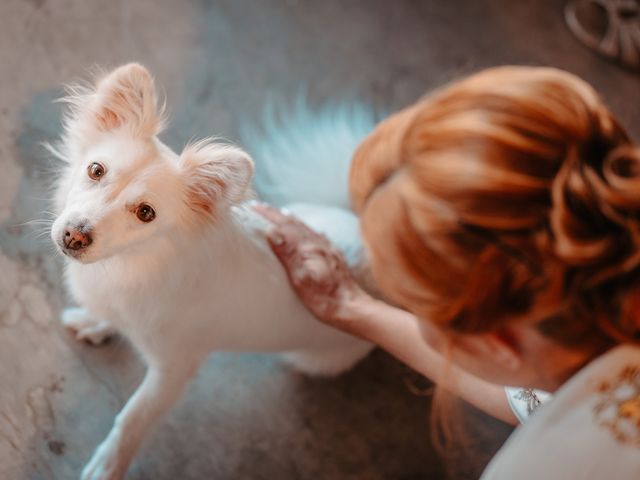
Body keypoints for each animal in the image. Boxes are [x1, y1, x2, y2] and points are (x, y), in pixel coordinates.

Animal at [52, 64, 378, 480]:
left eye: (146, 213)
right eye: (96, 171)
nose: (74, 236)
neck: (129, 264)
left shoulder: (173, 371)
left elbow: (132, 419)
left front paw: (108, 465)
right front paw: (97, 322)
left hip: (314, 358)